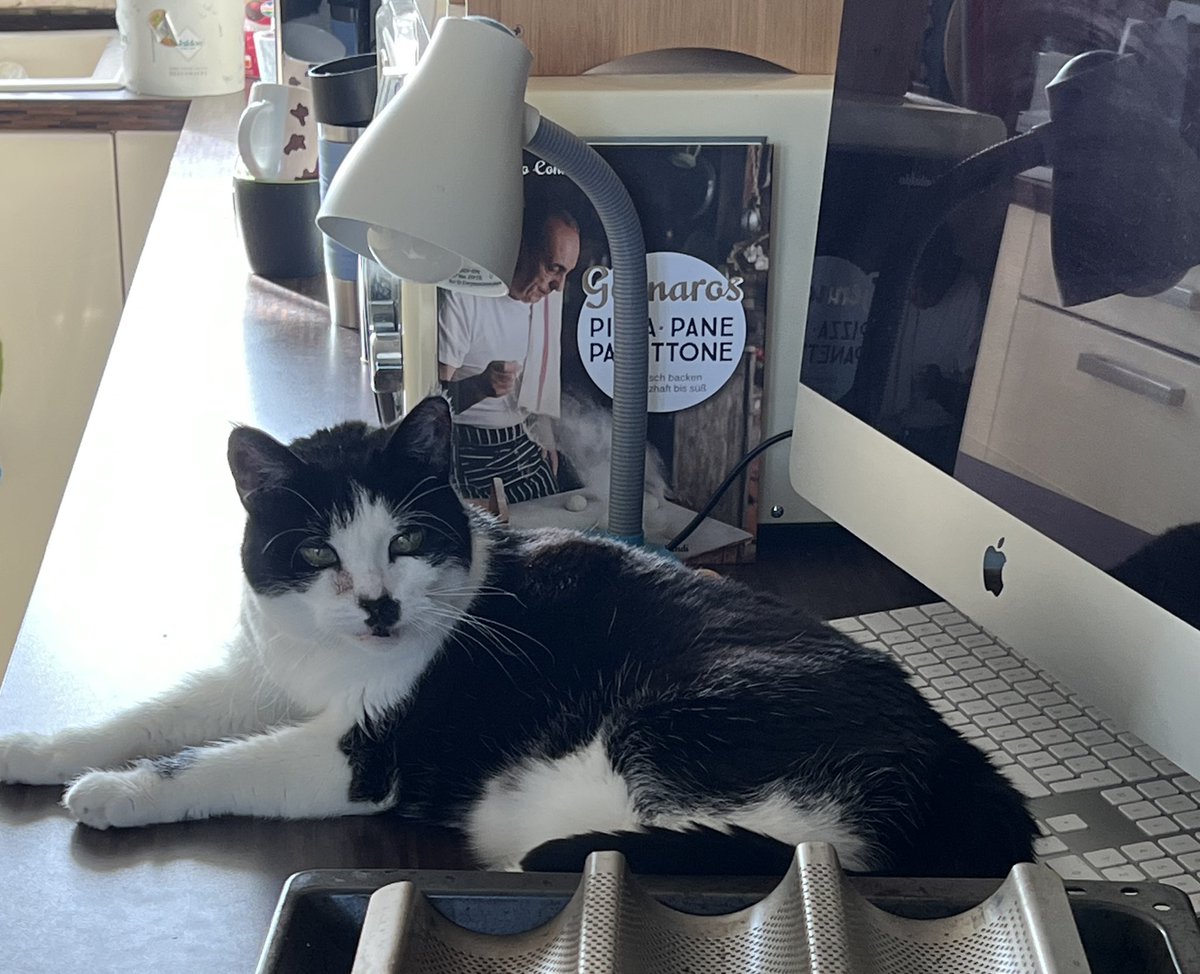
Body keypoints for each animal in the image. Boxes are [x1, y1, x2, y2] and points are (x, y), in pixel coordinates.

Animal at [0, 395, 1032, 873]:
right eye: (317, 551)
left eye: (408, 540)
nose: (378, 605)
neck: (330, 662)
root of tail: (960, 771)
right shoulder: (259, 670)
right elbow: (152, 716)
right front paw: (42, 749)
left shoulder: (365, 755)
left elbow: (210, 763)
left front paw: (114, 793)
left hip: (649, 756)